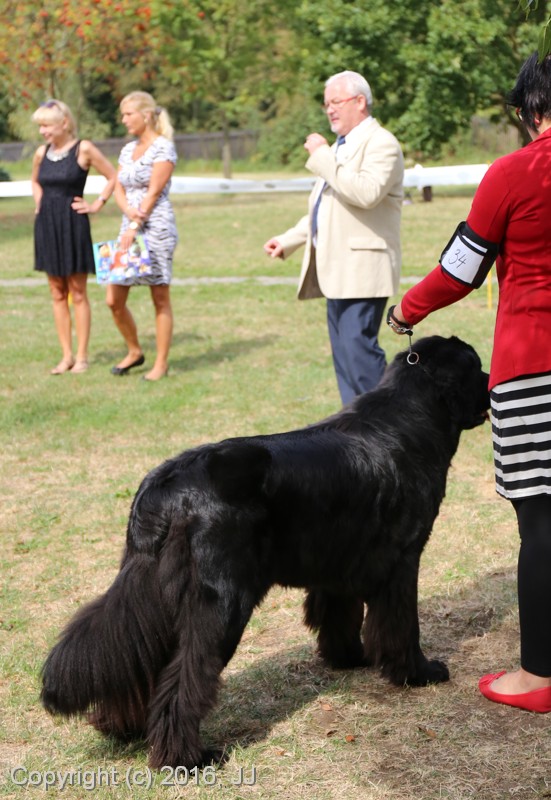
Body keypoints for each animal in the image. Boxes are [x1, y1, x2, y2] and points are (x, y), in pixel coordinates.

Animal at [41, 335, 490, 769]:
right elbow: (402, 625)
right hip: (222, 604)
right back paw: (189, 758)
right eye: (476, 365)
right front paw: (419, 673)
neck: (410, 420)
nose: (492, 386)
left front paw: (348, 658)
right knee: (184, 678)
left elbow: (340, 614)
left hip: (153, 597)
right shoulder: (402, 560)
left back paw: (126, 729)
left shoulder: (339, 556)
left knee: (143, 661)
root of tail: (164, 489)